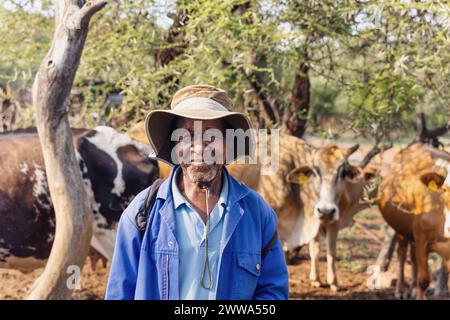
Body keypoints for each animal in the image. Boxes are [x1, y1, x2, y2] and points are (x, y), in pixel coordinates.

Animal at [380, 145, 450, 300]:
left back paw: (412, 289)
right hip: (401, 228)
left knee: (412, 257)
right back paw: (401, 290)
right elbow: (423, 280)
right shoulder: (422, 239)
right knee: (402, 254)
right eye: (445, 189)